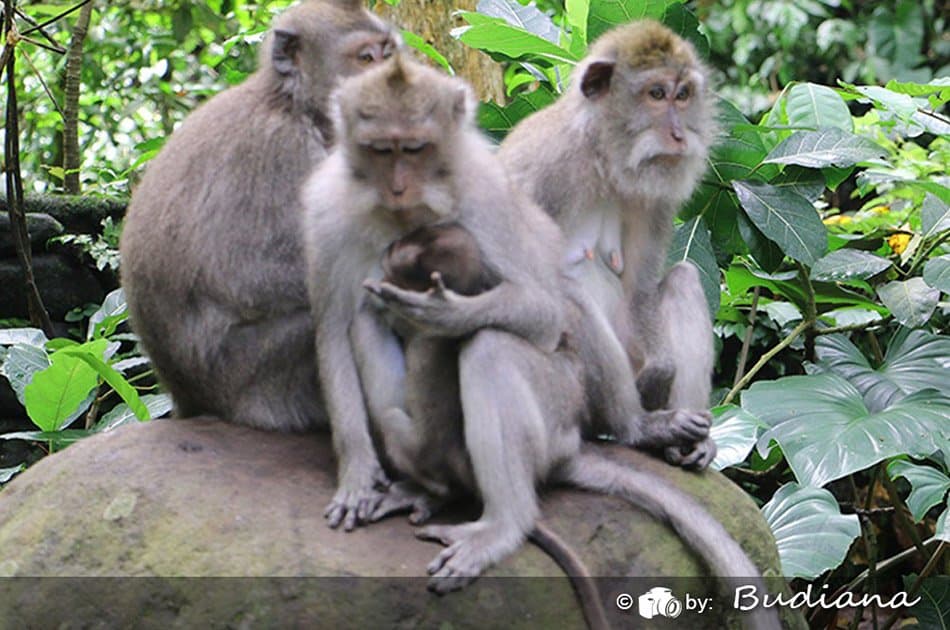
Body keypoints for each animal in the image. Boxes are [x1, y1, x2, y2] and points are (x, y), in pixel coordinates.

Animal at [119, 1, 400, 522]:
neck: (295, 104)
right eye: (366, 59)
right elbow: (263, 274)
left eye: (389, 56)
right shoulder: (284, 153)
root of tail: (189, 399)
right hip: (253, 384)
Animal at [498, 19, 718, 467]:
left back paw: (688, 438)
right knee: (567, 295)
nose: (679, 134)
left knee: (684, 279)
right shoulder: (543, 172)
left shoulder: (655, 198)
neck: (601, 158)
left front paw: (663, 370)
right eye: (656, 94)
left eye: (683, 95)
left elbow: (640, 287)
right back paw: (637, 428)